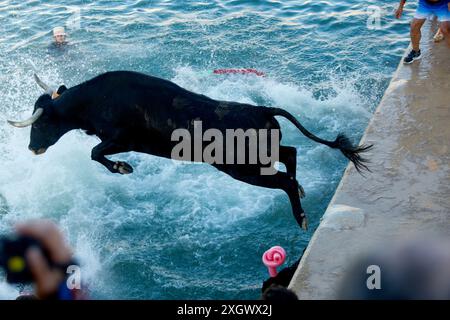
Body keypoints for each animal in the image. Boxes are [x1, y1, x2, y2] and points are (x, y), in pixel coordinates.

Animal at [8, 70, 370, 230]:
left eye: (42, 123)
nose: (32, 147)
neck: (95, 99)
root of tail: (264, 109)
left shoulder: (121, 139)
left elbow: (96, 153)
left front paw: (123, 168)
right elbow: (96, 153)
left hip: (243, 168)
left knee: (284, 181)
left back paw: (301, 216)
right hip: (261, 155)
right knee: (291, 153)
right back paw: (304, 193)